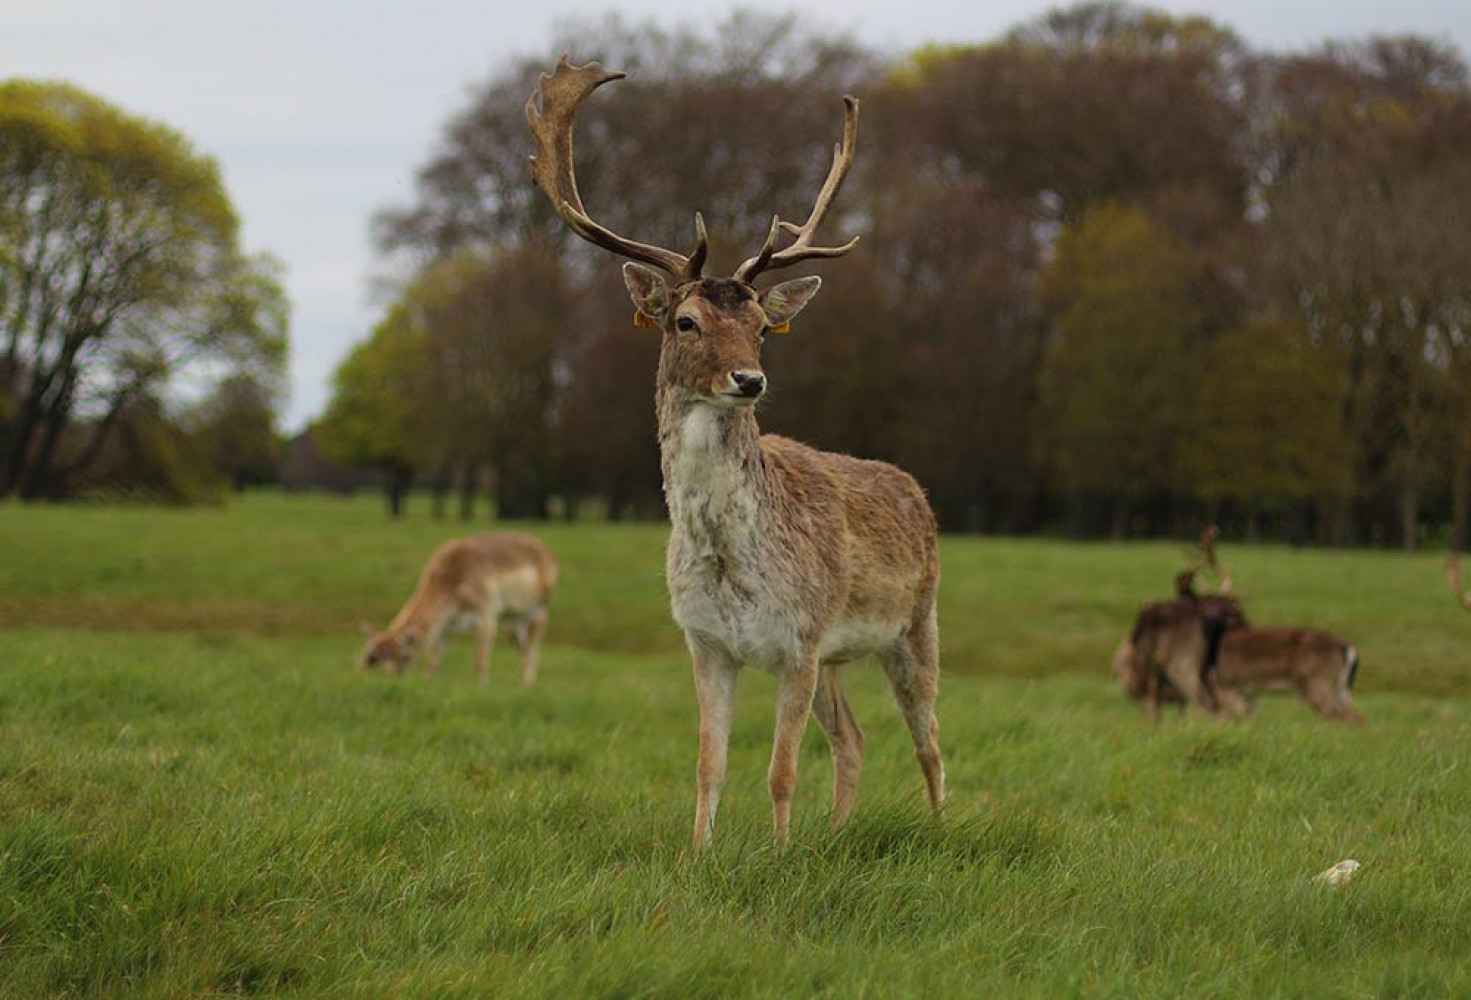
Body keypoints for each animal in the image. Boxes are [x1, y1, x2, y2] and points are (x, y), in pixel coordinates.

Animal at [360, 532, 556, 688]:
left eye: (403, 655)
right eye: (371, 656)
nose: (394, 677)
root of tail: (546, 550)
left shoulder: (487, 615)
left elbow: (480, 659)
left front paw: (482, 687)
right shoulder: (444, 627)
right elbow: (432, 661)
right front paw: (428, 681)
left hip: (538, 612)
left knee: (534, 650)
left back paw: (528, 685)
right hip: (512, 624)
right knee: (525, 649)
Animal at [526, 58, 941, 847]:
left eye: (761, 326)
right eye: (685, 320)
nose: (750, 380)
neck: (730, 562)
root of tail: (915, 488)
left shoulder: (799, 639)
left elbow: (780, 771)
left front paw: (778, 857)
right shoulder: (706, 644)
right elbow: (707, 764)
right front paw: (699, 854)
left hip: (915, 623)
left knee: (927, 739)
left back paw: (939, 828)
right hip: (840, 656)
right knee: (852, 739)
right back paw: (837, 834)